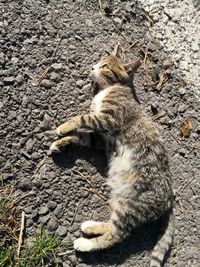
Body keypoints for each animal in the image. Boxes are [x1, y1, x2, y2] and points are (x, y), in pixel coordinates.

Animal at [49, 45, 173, 266]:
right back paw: (90, 226)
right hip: (121, 200)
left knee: (116, 235)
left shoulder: (107, 119)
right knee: (112, 225)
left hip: (133, 207)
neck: (111, 88)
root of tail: (169, 199)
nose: (92, 66)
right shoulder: (100, 138)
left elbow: (81, 118)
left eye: (105, 66)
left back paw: (85, 243)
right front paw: (61, 143)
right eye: (99, 60)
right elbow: (81, 136)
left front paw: (63, 127)